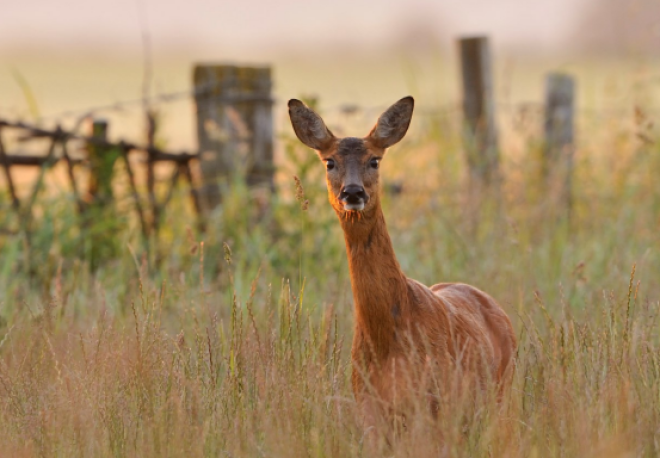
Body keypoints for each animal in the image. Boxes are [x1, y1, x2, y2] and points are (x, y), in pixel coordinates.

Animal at [288, 95, 516, 430]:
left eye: (375, 160)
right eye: (329, 162)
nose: (352, 192)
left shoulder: (435, 402)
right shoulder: (368, 406)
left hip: (499, 391)